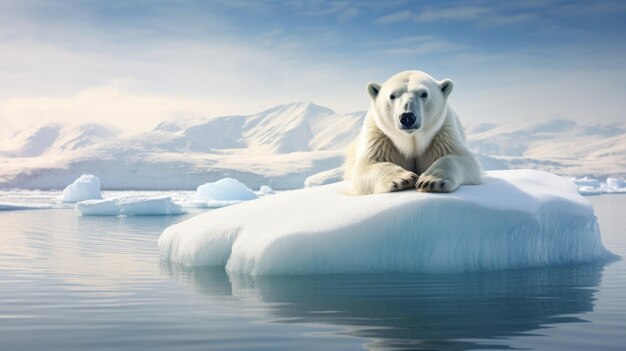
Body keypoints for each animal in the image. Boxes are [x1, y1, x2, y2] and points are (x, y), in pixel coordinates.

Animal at [344, 70, 480, 194]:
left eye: (424, 94)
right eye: (392, 96)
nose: (407, 117)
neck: (411, 140)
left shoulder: (443, 132)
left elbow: (461, 158)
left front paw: (430, 181)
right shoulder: (379, 136)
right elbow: (366, 165)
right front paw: (403, 179)